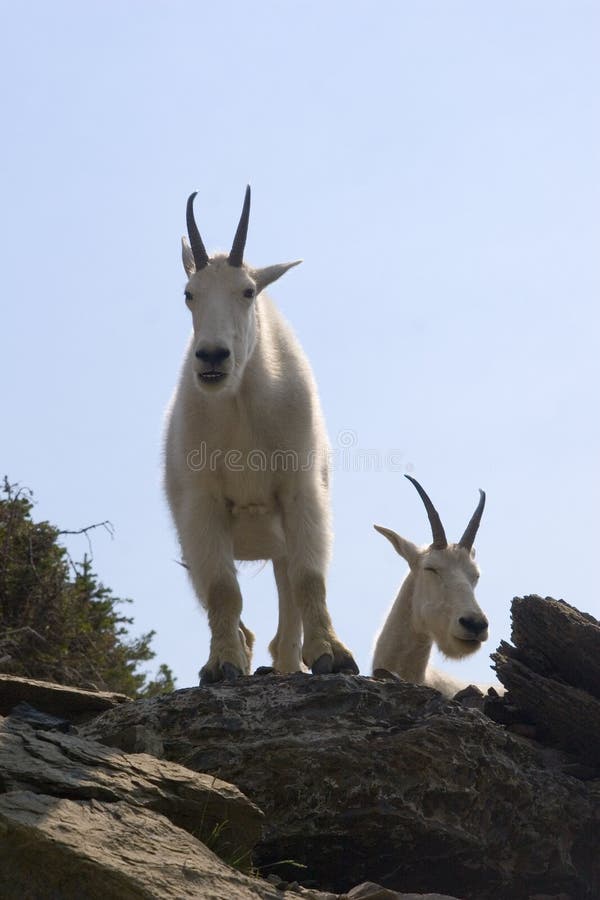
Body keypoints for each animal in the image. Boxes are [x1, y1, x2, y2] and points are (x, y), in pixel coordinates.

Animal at [164, 188, 356, 684]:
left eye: (248, 291)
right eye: (189, 294)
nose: (212, 357)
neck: (240, 405)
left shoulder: (299, 492)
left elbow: (310, 579)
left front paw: (332, 656)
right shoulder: (203, 507)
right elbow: (223, 590)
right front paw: (222, 666)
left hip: (280, 540)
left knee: (286, 615)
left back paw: (293, 664)